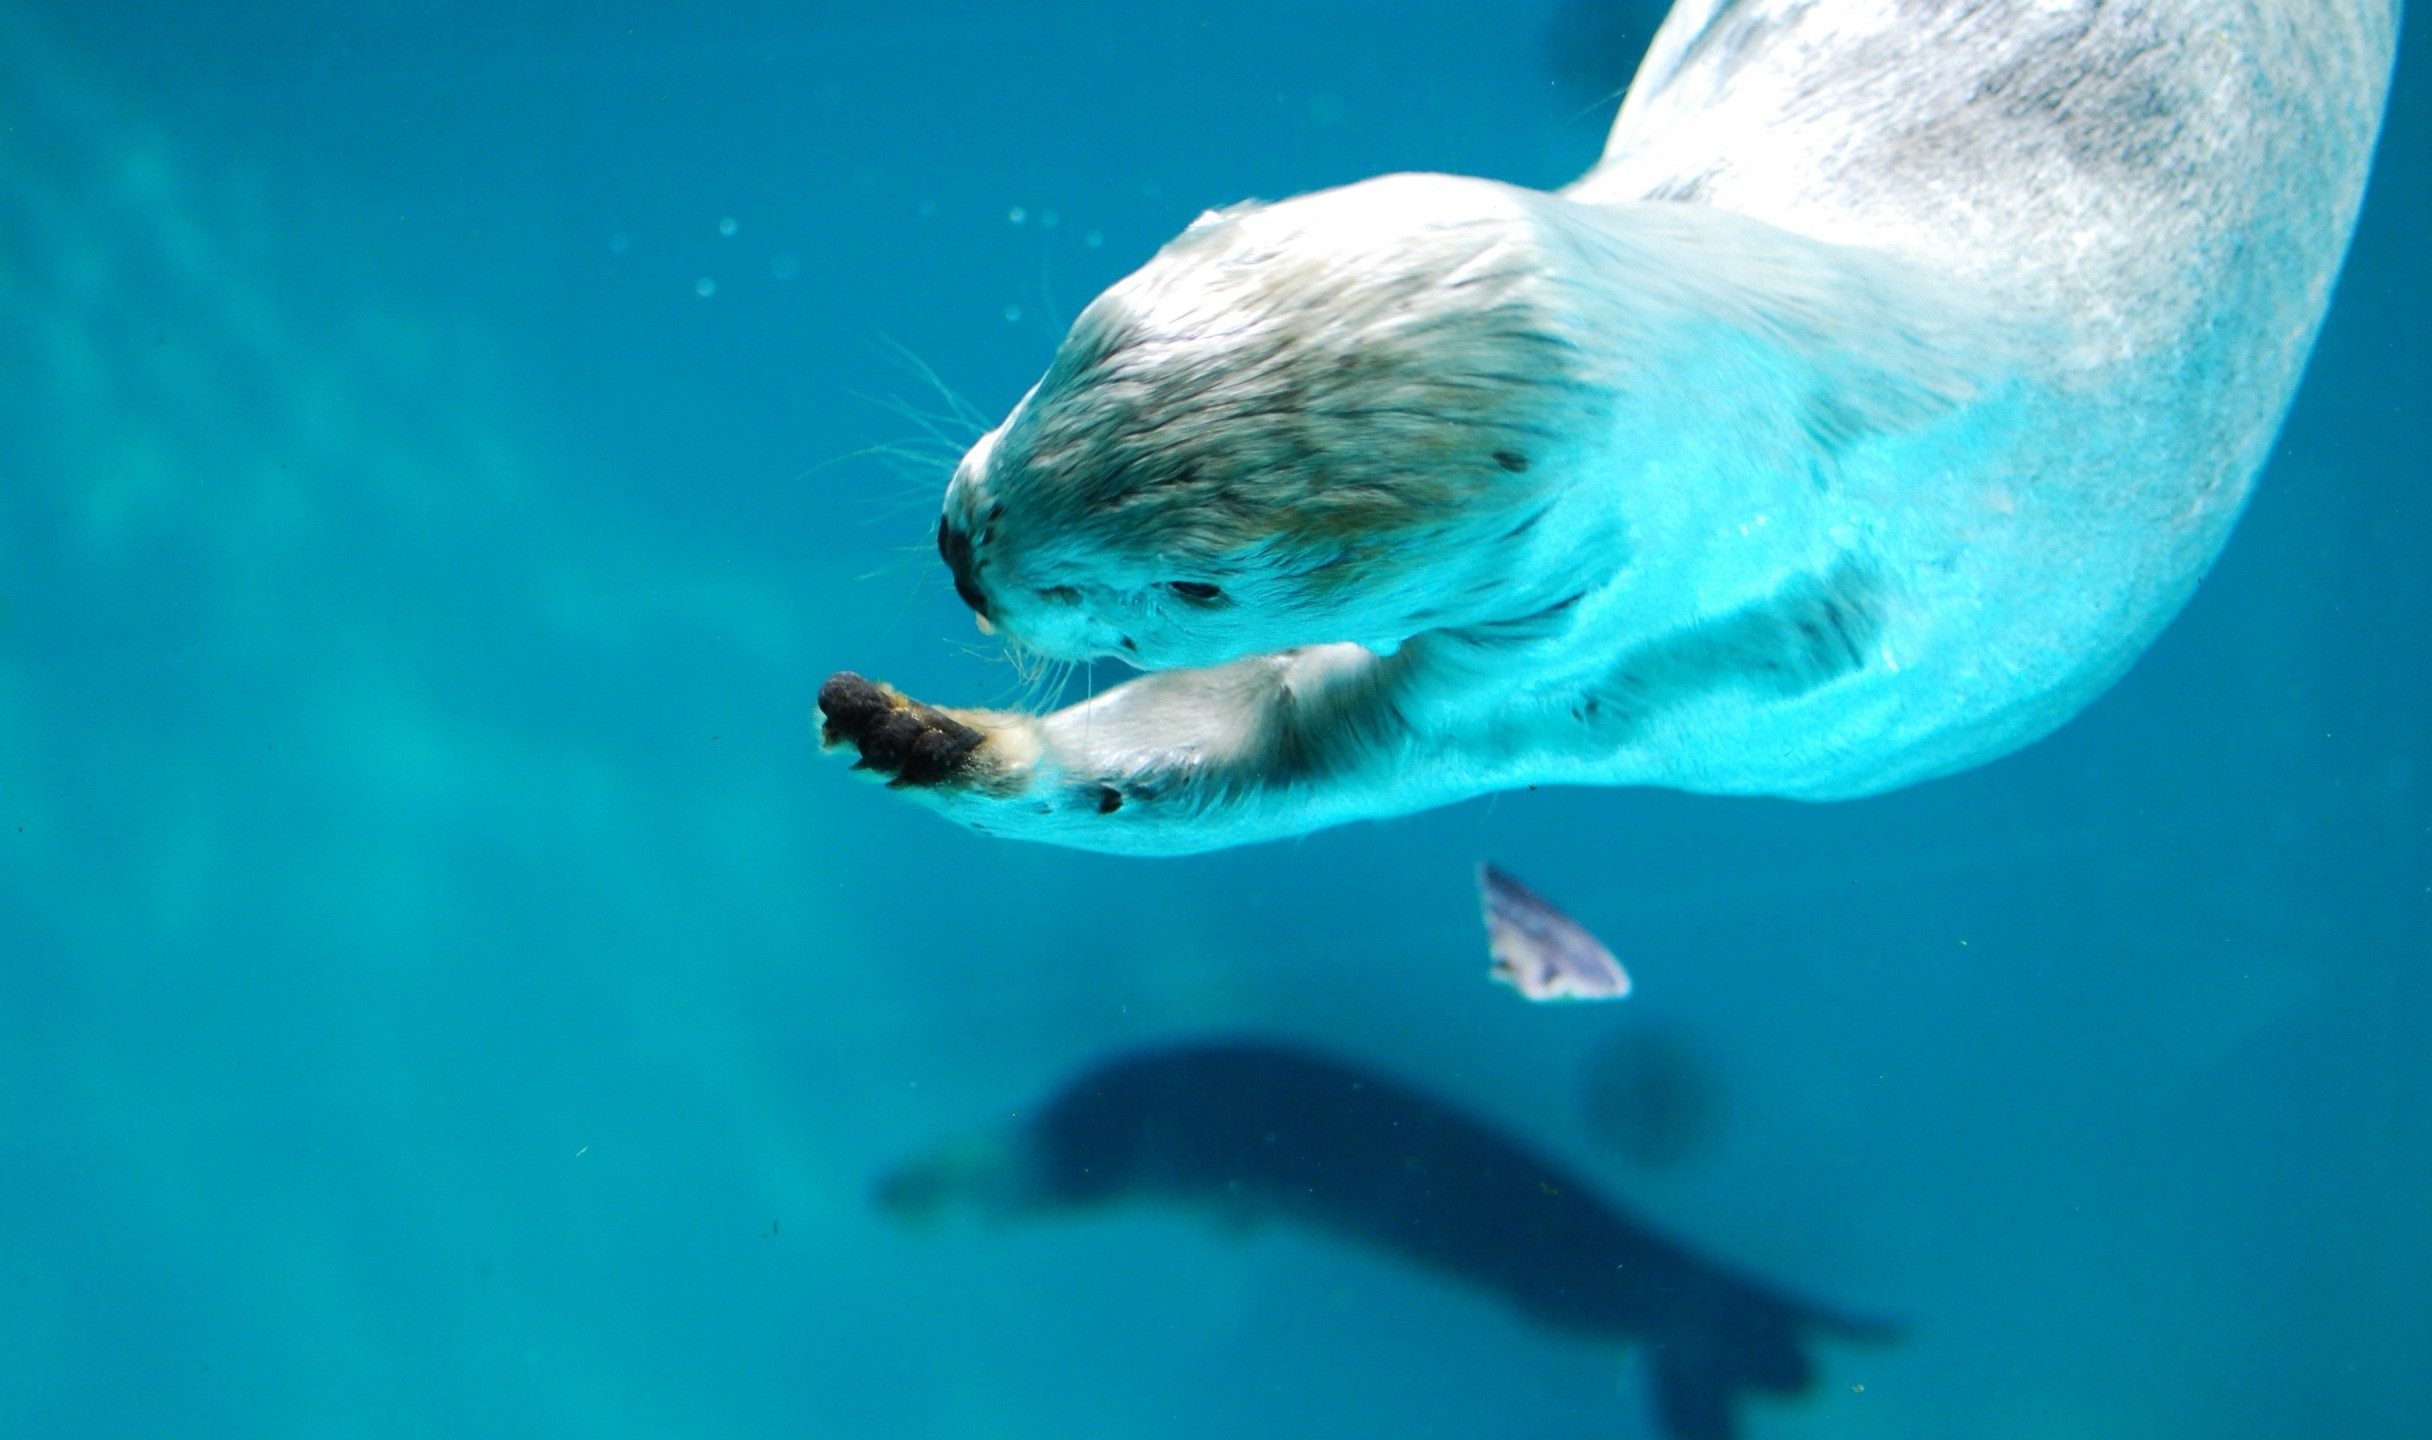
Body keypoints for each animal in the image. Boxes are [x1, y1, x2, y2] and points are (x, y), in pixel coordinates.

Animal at [820, 2, 2400, 854]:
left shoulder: (1634, 654)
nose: (962, 550)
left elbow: (1272, 760)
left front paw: (930, 740)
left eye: (1197, 584)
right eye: (1083, 332)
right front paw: (909, 728)